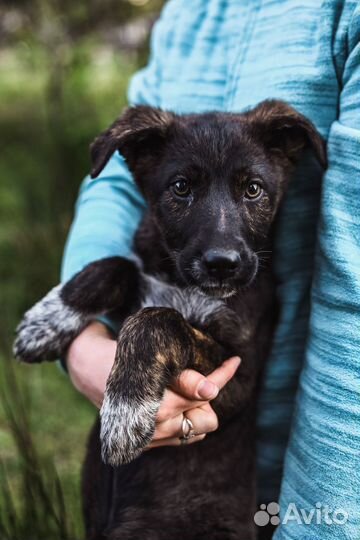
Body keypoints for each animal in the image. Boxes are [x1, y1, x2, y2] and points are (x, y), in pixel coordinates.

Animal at [13, 99, 326, 536]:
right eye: (181, 188)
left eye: (253, 189)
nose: (222, 265)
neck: (181, 281)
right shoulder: (141, 279)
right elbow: (116, 266)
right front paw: (47, 320)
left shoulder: (236, 374)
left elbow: (159, 320)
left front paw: (125, 412)